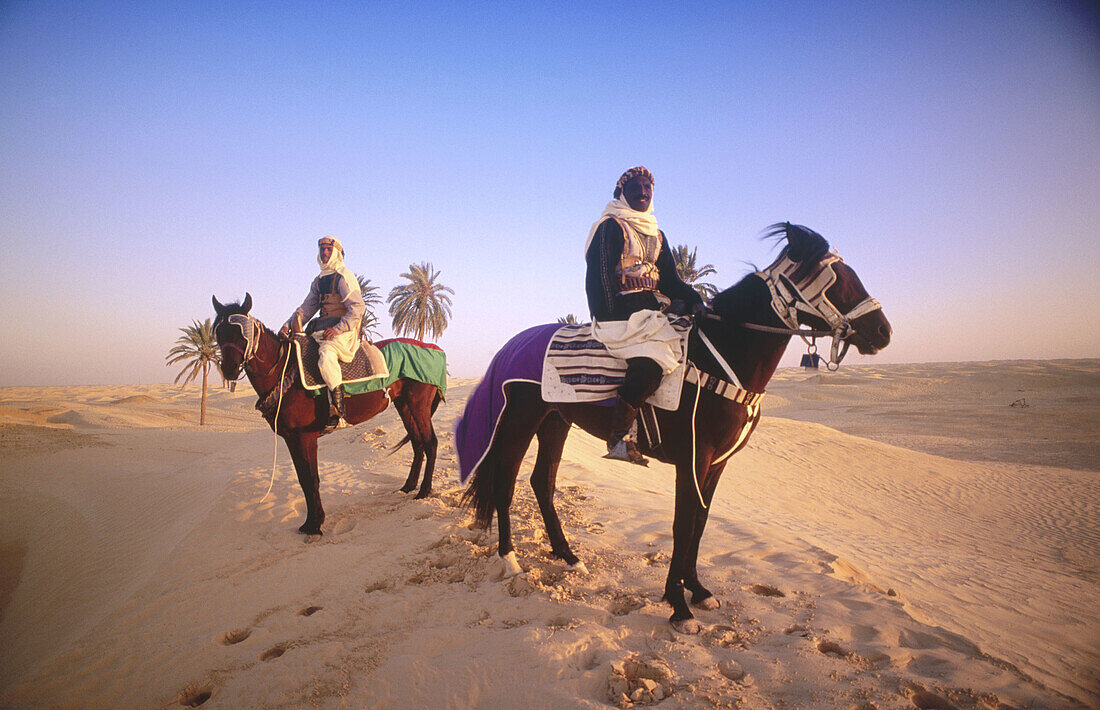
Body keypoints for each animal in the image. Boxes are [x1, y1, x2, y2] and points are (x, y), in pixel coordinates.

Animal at [210, 292, 442, 532]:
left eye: (241, 333)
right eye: (219, 332)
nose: (228, 369)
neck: (284, 371)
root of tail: (434, 348)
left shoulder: (306, 437)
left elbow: (312, 478)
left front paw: (315, 524)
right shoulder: (291, 438)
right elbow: (303, 478)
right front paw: (310, 521)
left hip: (419, 406)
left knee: (430, 443)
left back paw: (424, 490)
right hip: (404, 405)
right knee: (418, 443)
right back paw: (409, 486)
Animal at [457, 223, 893, 629]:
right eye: (838, 280)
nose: (883, 332)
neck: (720, 356)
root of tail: (512, 344)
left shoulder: (717, 464)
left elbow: (699, 524)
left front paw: (697, 590)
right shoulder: (693, 460)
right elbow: (682, 526)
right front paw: (679, 606)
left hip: (555, 423)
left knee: (542, 483)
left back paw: (568, 556)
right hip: (520, 420)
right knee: (506, 483)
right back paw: (510, 559)